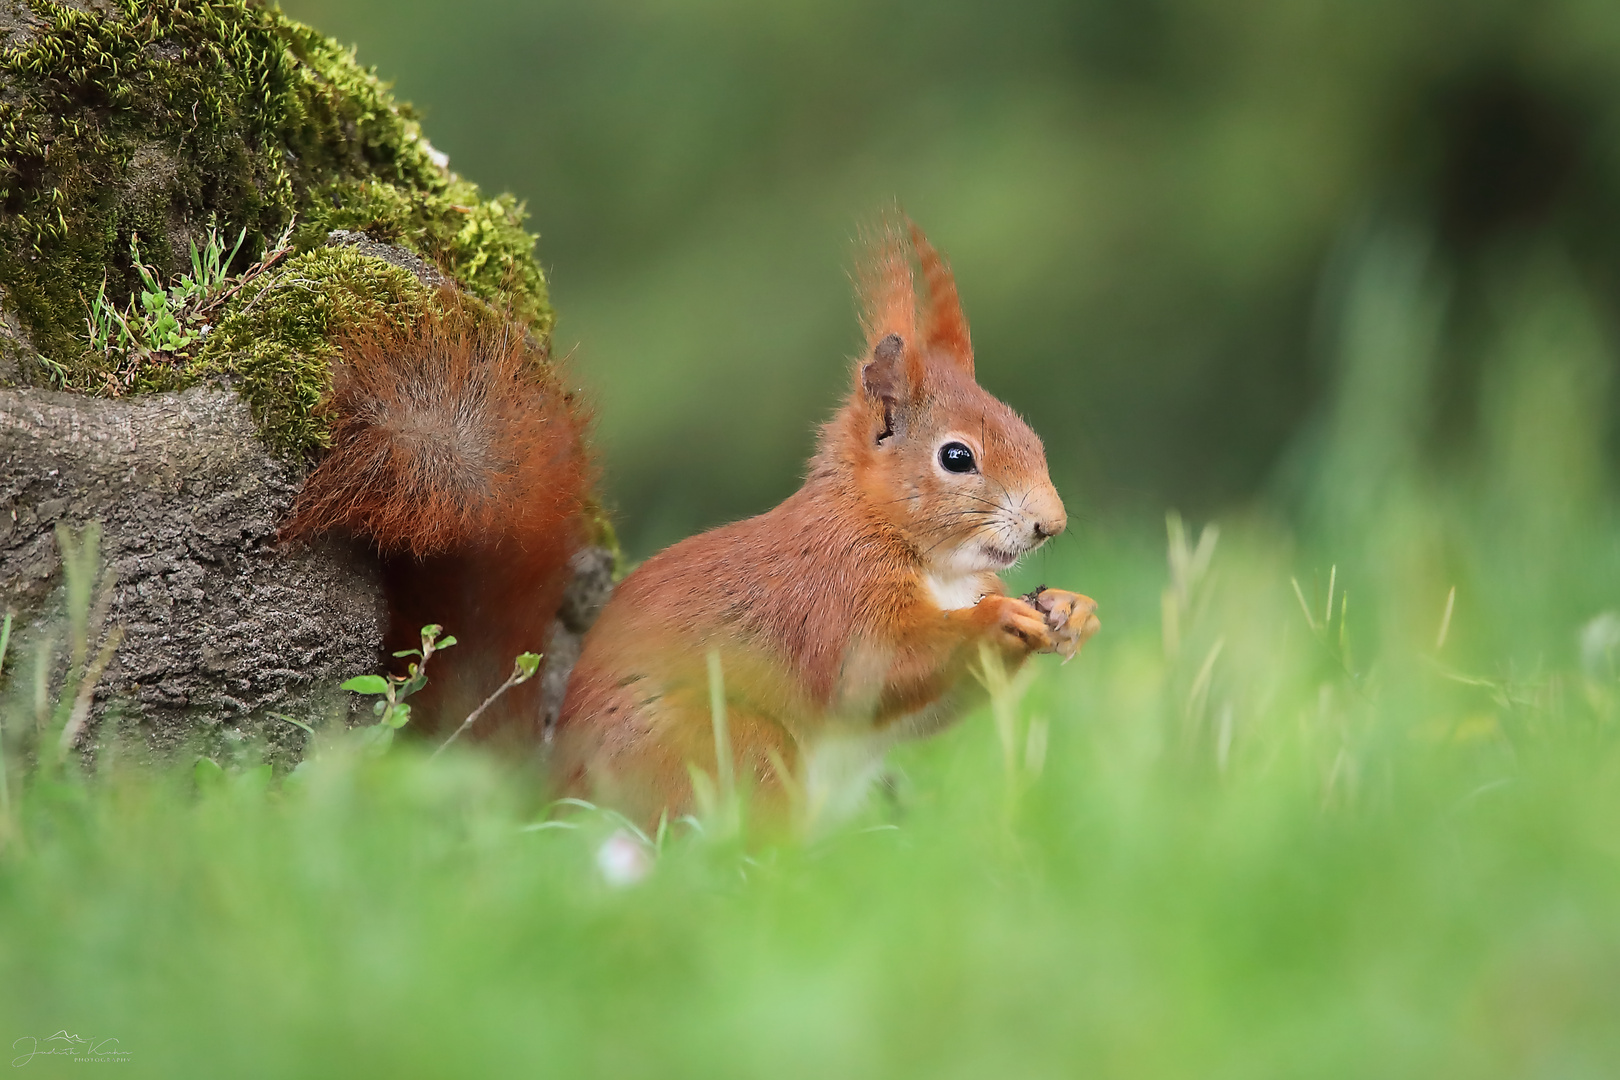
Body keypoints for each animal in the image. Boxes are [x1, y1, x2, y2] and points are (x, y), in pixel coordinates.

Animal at [557, 223, 1101, 822]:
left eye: (1032, 437)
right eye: (957, 457)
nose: (1052, 524)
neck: (939, 568)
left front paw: (1071, 608)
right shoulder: (834, 591)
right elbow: (872, 670)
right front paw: (997, 619)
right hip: (728, 744)